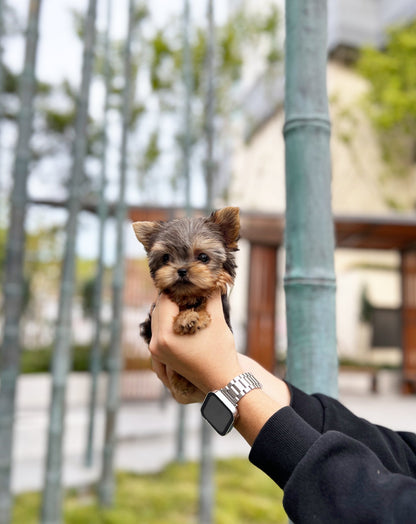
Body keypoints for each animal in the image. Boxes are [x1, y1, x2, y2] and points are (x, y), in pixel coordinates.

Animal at [132, 207, 239, 396]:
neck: (189, 297)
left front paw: (193, 317)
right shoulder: (149, 326)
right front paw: (187, 317)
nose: (181, 270)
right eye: (166, 258)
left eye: (203, 257)